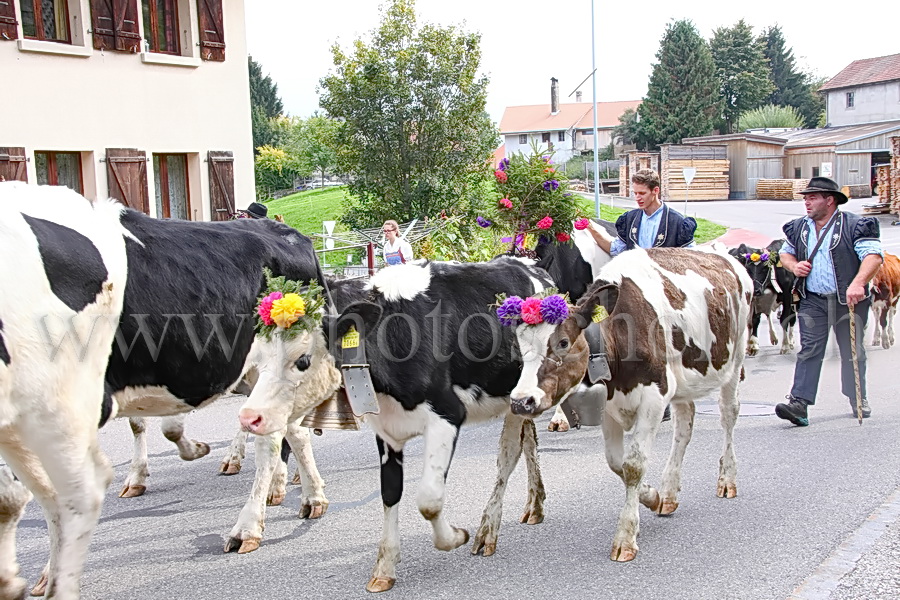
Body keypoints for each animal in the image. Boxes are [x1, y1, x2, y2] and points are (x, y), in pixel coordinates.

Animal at [234, 258, 592, 592]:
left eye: (302, 360)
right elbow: (390, 493)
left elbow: (429, 499)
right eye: (257, 358)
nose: (249, 417)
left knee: (509, 454)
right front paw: (384, 568)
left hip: (520, 397)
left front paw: (456, 537)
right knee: (528, 443)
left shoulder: (447, 415)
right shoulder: (385, 429)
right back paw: (533, 506)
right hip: (520, 400)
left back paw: (487, 531)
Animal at [506, 247, 752, 564]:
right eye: (519, 346)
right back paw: (669, 493)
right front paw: (653, 497)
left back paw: (727, 479)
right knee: (685, 426)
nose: (521, 400)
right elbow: (615, 463)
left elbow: (633, 466)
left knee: (729, 415)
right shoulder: (610, 405)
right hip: (682, 381)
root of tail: (722, 254)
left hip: (735, 360)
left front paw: (625, 536)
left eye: (562, 342)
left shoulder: (654, 397)